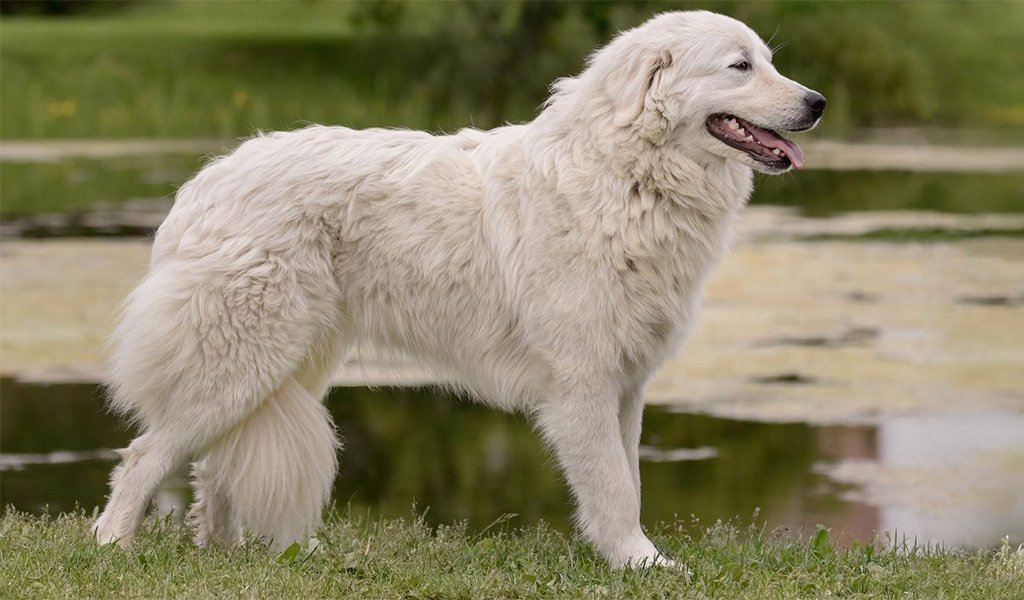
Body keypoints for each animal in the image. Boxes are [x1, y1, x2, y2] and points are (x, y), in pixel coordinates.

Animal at [96, 11, 823, 569]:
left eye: (767, 61)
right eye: (739, 67)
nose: (815, 103)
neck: (628, 174)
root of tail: (201, 184)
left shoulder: (627, 383)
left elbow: (631, 480)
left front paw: (631, 558)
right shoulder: (583, 382)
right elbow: (615, 488)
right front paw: (641, 563)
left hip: (280, 368)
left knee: (211, 467)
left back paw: (225, 555)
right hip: (242, 359)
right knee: (144, 456)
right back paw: (114, 548)